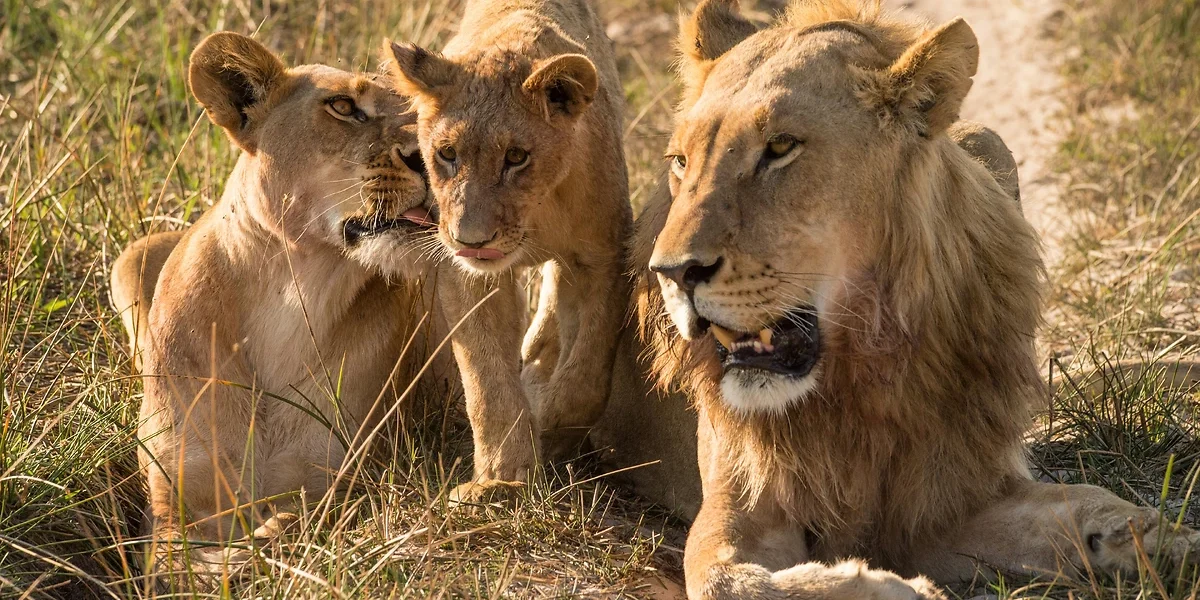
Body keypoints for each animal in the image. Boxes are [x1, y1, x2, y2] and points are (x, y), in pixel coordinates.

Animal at [109, 32, 442, 572]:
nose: (439, 158)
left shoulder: (341, 479)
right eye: (343, 106)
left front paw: (257, 547)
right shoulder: (173, 494)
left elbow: (296, 520)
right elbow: (172, 556)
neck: (294, 292)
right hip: (131, 256)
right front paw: (219, 563)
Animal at [382, 0, 632, 494]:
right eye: (447, 154)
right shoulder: (467, 273)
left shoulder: (603, 259)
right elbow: (487, 377)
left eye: (516, 157)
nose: (471, 239)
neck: (537, 214)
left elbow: (588, 376)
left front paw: (551, 431)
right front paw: (502, 480)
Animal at [621, 1, 1200, 598]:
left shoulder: (946, 499)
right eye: (680, 161)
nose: (672, 273)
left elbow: (1075, 501)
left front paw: (1156, 538)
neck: (860, 365)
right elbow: (734, 580)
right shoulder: (734, 512)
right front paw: (895, 586)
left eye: (780, 147)